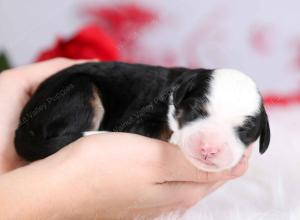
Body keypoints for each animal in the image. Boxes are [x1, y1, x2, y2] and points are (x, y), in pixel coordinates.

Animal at [14, 61, 270, 172]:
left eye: (245, 131)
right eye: (196, 111)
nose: (208, 150)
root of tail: (22, 125)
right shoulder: (140, 121)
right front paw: (175, 138)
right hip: (80, 90)